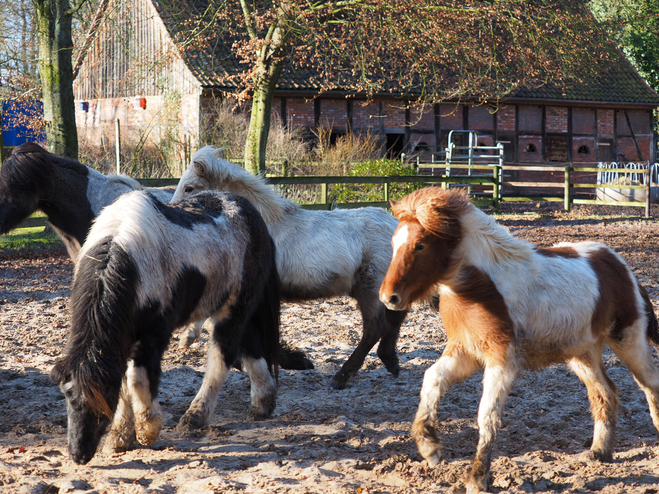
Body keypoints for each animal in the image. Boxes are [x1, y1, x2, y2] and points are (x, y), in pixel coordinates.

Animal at [50, 189, 280, 464]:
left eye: (104, 399)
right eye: (67, 396)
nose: (78, 454)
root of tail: (251, 212)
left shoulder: (153, 335)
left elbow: (137, 380)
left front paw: (148, 429)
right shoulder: (122, 338)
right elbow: (125, 384)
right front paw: (120, 438)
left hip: (233, 311)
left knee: (221, 359)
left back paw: (195, 418)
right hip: (233, 309)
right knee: (251, 346)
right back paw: (263, 404)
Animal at [170, 146, 408, 390]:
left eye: (189, 188)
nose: (174, 215)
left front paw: (296, 361)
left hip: (369, 287)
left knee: (375, 327)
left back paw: (342, 376)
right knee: (395, 316)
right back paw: (389, 361)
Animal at [378, 186, 659, 494]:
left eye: (420, 245)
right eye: (392, 243)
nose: (389, 298)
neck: (482, 286)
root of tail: (621, 266)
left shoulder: (502, 359)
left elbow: (486, 415)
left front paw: (477, 478)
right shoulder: (465, 351)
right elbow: (432, 378)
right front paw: (430, 447)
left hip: (628, 340)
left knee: (650, 384)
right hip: (582, 353)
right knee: (605, 393)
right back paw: (599, 452)